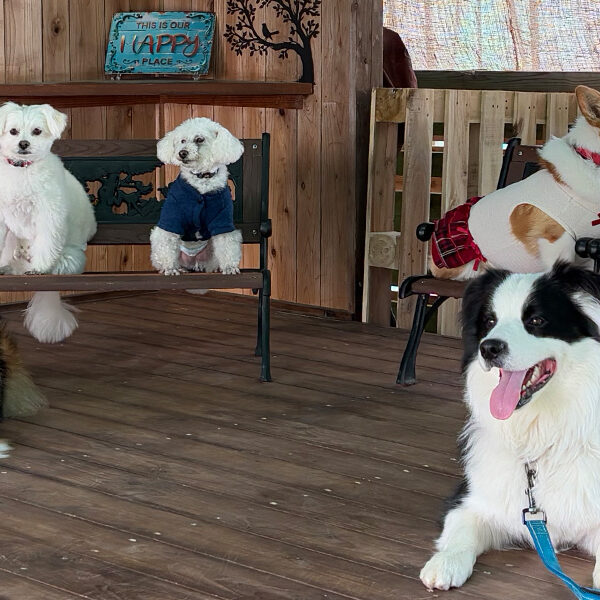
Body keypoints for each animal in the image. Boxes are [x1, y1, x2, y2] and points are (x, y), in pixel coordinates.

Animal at [151, 118, 245, 276]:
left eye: (199, 139)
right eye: (182, 140)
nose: (182, 153)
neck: (202, 178)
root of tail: (192, 260)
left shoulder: (222, 218)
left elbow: (226, 242)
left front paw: (229, 267)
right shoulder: (172, 216)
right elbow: (167, 241)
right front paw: (170, 268)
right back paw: (180, 267)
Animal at [422, 264, 600, 592]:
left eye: (536, 320)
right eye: (490, 321)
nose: (489, 348)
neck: (540, 435)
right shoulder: (471, 497)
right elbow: (460, 529)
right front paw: (445, 563)